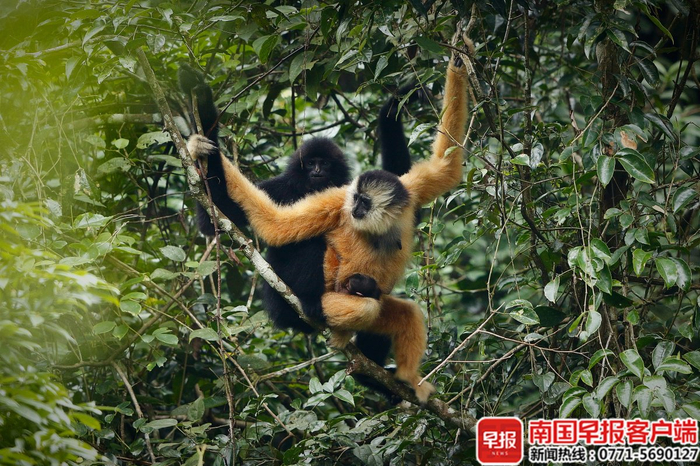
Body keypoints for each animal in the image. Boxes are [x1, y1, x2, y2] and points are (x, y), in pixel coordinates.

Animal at [186, 50, 469, 402]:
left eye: (364, 201)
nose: (354, 208)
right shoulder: (336, 201)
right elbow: (273, 224)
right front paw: (202, 140)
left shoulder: (410, 193)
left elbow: (446, 166)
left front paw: (455, 64)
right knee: (347, 286)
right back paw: (318, 311)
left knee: (404, 313)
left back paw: (401, 379)